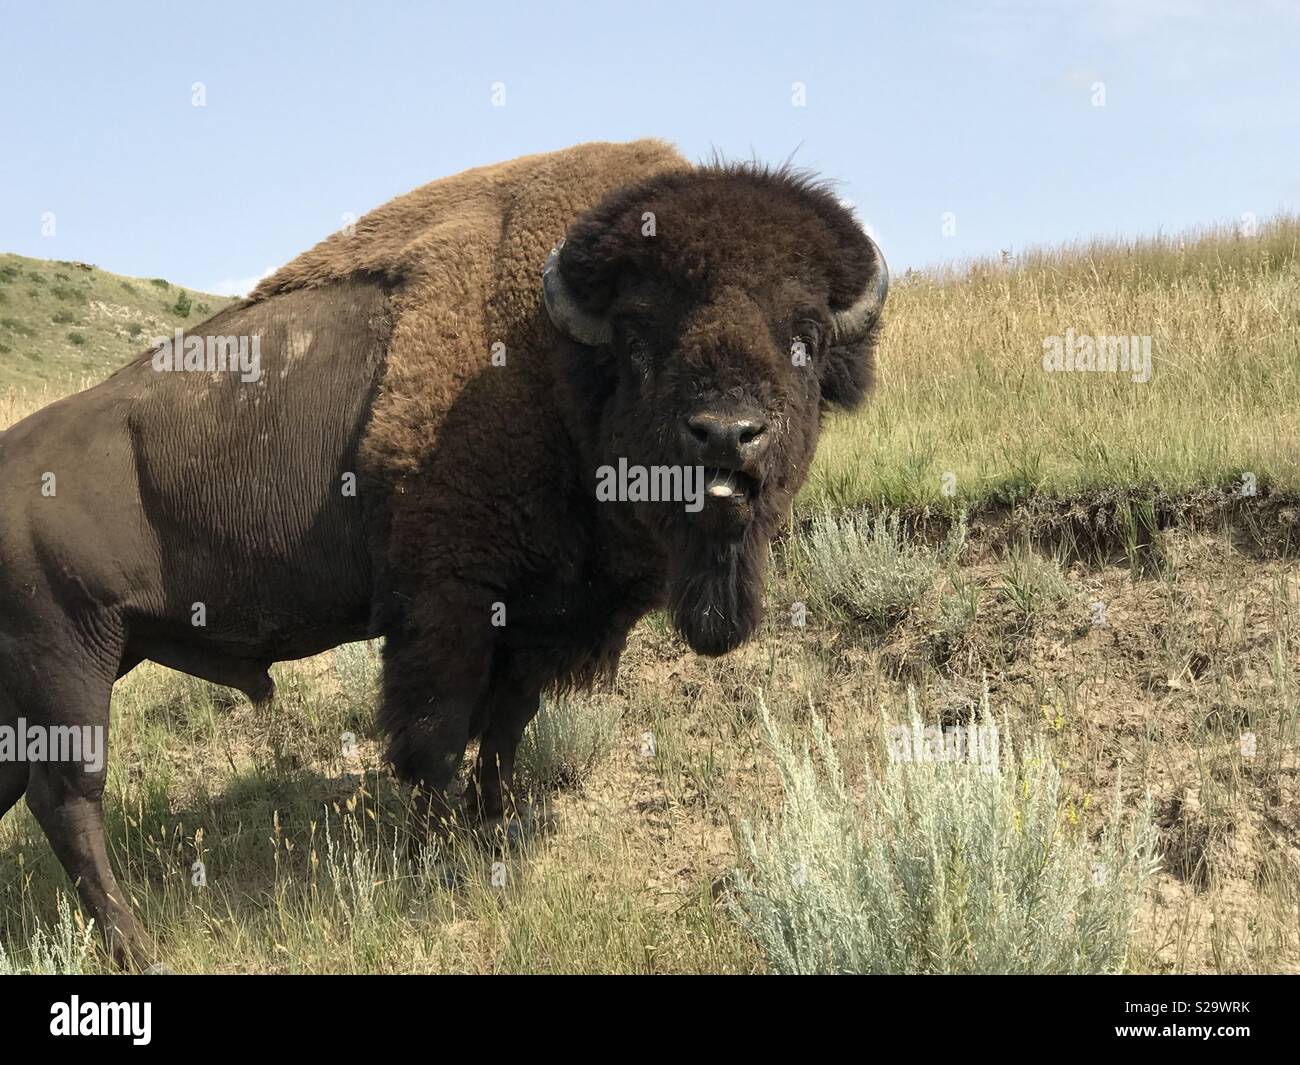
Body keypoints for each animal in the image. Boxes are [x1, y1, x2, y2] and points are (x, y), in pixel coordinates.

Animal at [0, 139, 887, 968]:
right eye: (640, 336)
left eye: (806, 335)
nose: (728, 435)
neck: (553, 356)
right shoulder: (448, 604)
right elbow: (436, 737)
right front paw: (438, 859)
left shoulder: (532, 620)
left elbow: (505, 728)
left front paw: (494, 828)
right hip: (73, 659)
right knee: (69, 796)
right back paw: (140, 946)